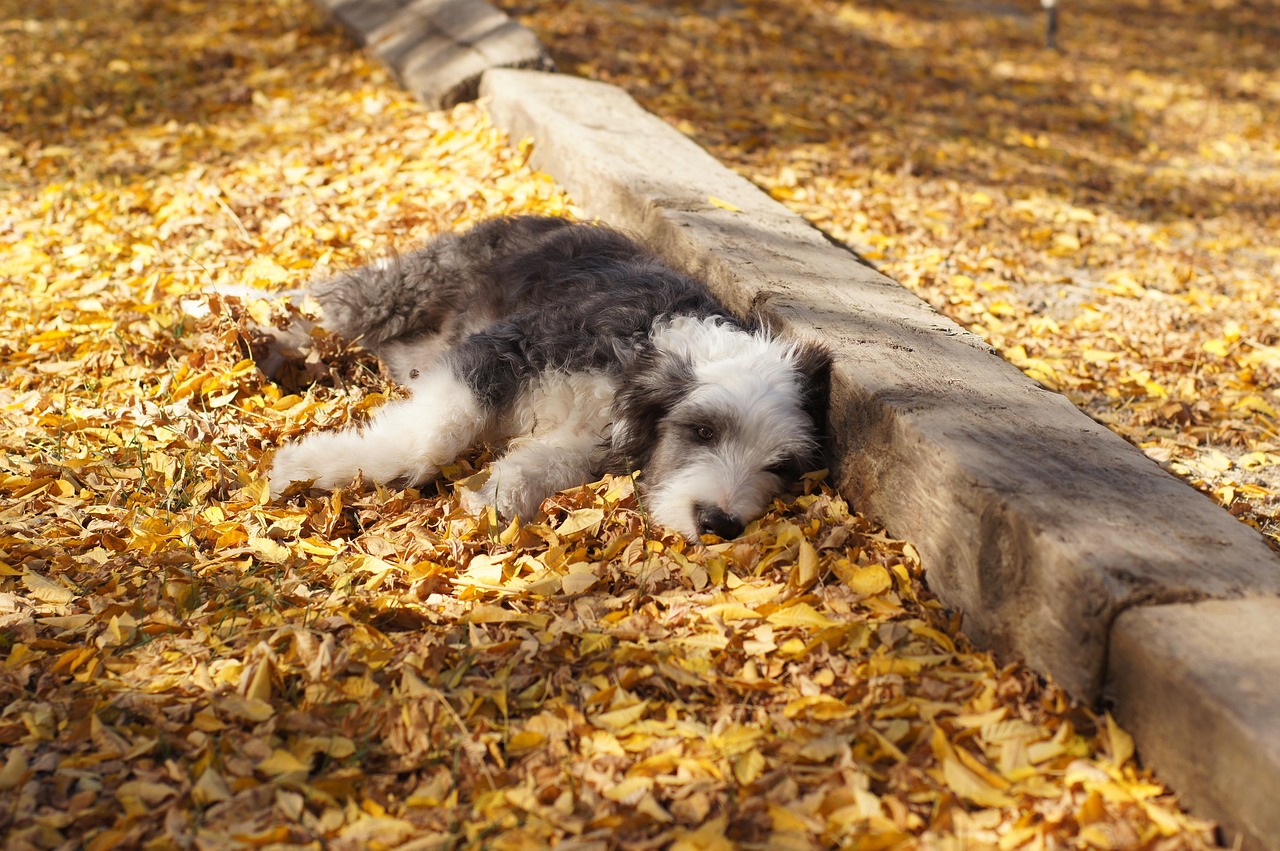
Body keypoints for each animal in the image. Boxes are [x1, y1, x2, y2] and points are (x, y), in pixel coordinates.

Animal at [268, 216, 829, 540]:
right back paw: (262, 327)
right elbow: (430, 440)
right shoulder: (500, 352)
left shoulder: (592, 443)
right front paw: (303, 467)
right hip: (410, 289)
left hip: (421, 341)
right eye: (703, 431)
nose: (720, 524)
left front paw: (491, 499)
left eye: (781, 466)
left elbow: (543, 465)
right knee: (333, 301)